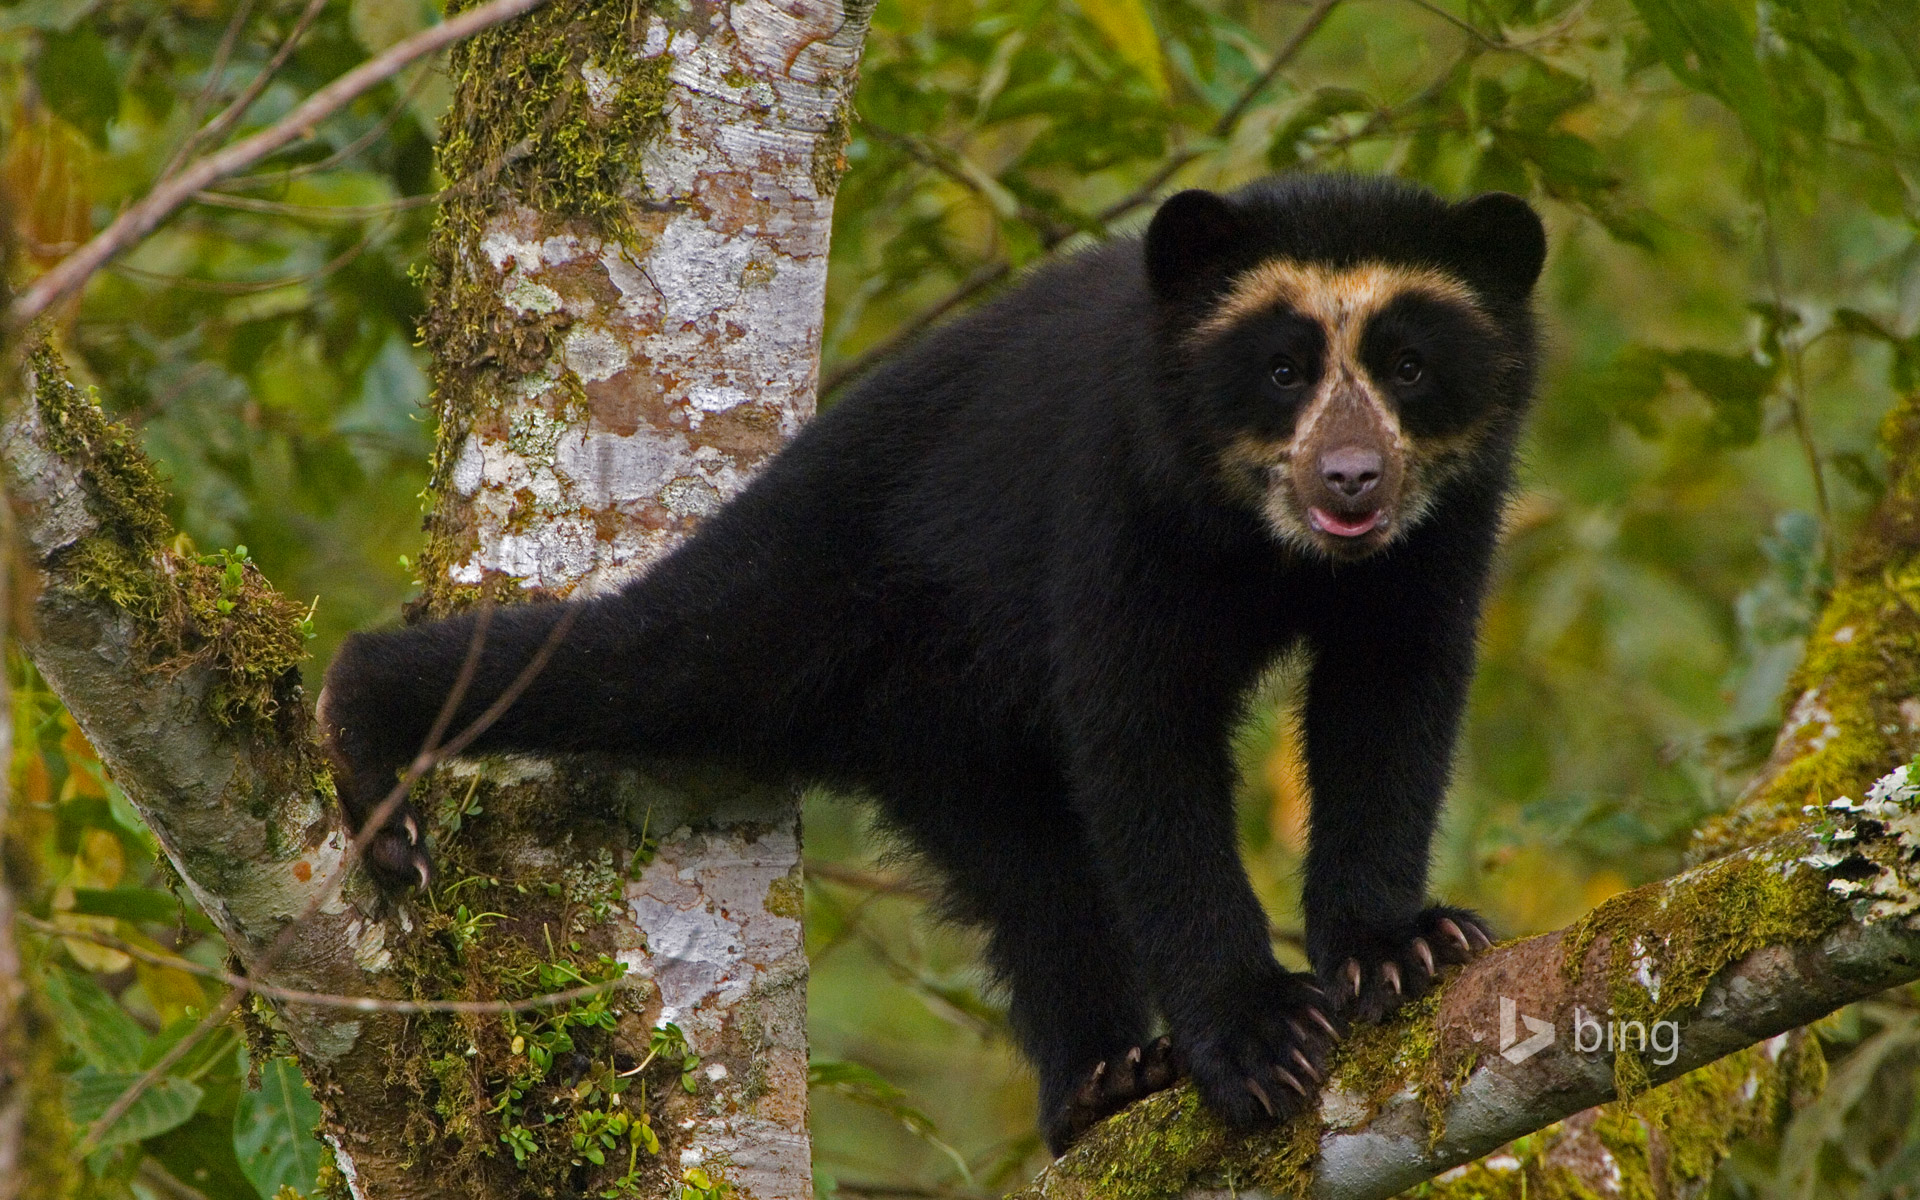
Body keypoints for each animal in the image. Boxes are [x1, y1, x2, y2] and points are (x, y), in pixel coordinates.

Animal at [318, 175, 1543, 1152]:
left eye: (1411, 366)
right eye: (1284, 370)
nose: (1352, 479)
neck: (1266, 540)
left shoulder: (1440, 532)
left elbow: (1392, 695)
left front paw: (1404, 947)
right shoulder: (1113, 495)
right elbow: (1141, 739)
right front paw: (1257, 1038)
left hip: (949, 734)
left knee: (1037, 880)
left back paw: (1101, 1082)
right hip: (816, 583)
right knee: (640, 659)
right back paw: (366, 732)